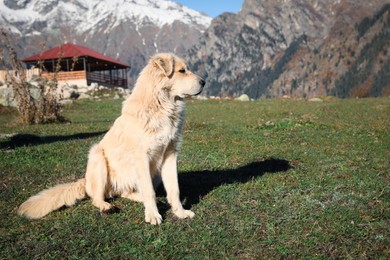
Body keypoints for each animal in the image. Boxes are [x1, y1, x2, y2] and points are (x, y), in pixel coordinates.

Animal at [18, 51, 206, 224]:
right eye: (182, 71)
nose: (204, 82)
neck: (162, 105)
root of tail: (84, 181)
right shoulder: (142, 158)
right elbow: (149, 191)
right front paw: (153, 215)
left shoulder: (170, 155)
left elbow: (174, 189)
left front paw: (180, 212)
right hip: (98, 157)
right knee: (97, 197)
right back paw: (106, 206)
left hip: (153, 173)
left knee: (124, 192)